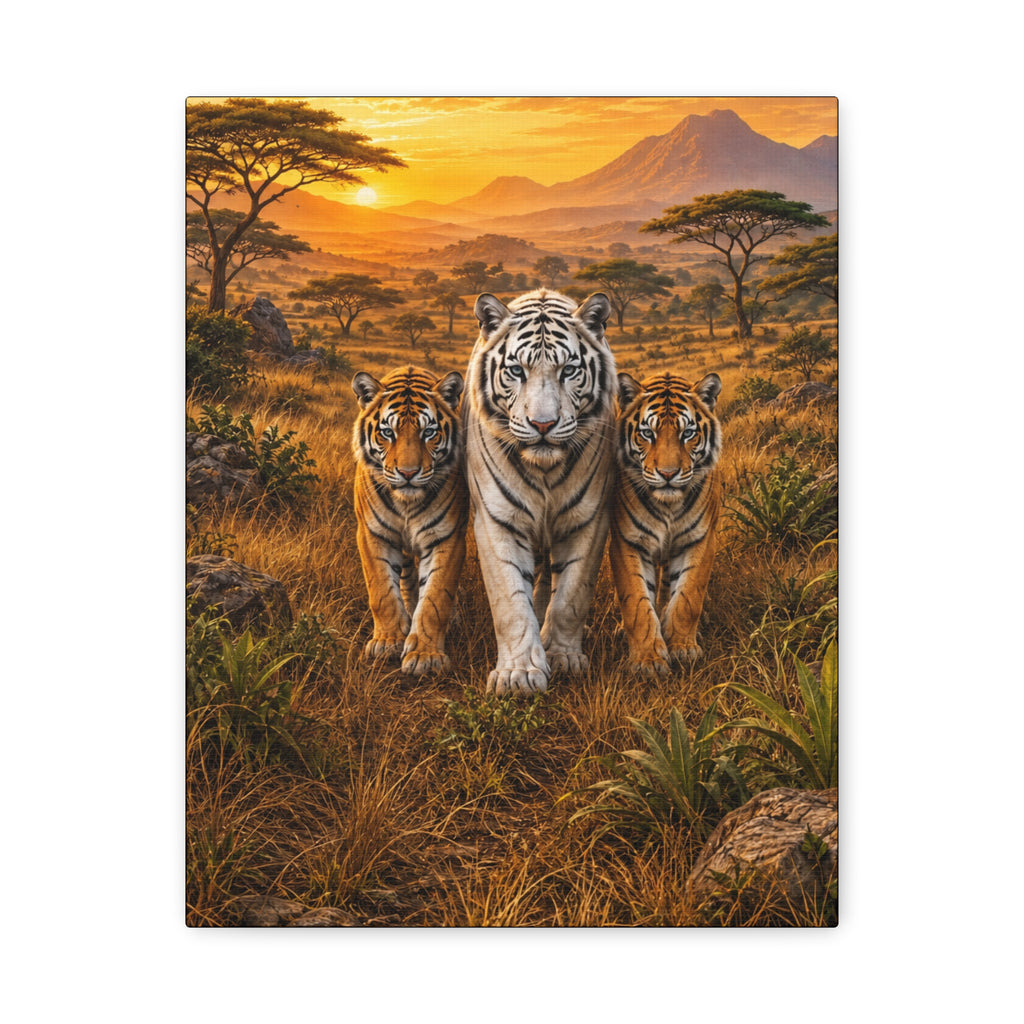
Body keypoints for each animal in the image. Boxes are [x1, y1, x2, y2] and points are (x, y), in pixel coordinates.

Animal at [351, 365, 468, 676]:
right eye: (387, 433)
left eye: (429, 432)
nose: (407, 473)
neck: (406, 502)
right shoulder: (373, 535)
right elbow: (381, 591)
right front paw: (388, 641)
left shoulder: (447, 538)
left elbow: (436, 599)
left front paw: (426, 656)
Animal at [464, 288, 617, 695]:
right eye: (517, 371)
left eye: (569, 371)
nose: (543, 424)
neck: (545, 469)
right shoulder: (497, 521)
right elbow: (510, 603)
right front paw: (518, 674)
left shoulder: (588, 520)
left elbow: (571, 596)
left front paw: (563, 656)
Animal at [609, 371, 723, 677]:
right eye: (647, 433)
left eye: (688, 433)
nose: (668, 474)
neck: (668, 506)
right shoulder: (628, 543)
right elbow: (636, 602)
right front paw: (647, 660)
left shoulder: (700, 540)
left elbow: (688, 597)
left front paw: (682, 647)